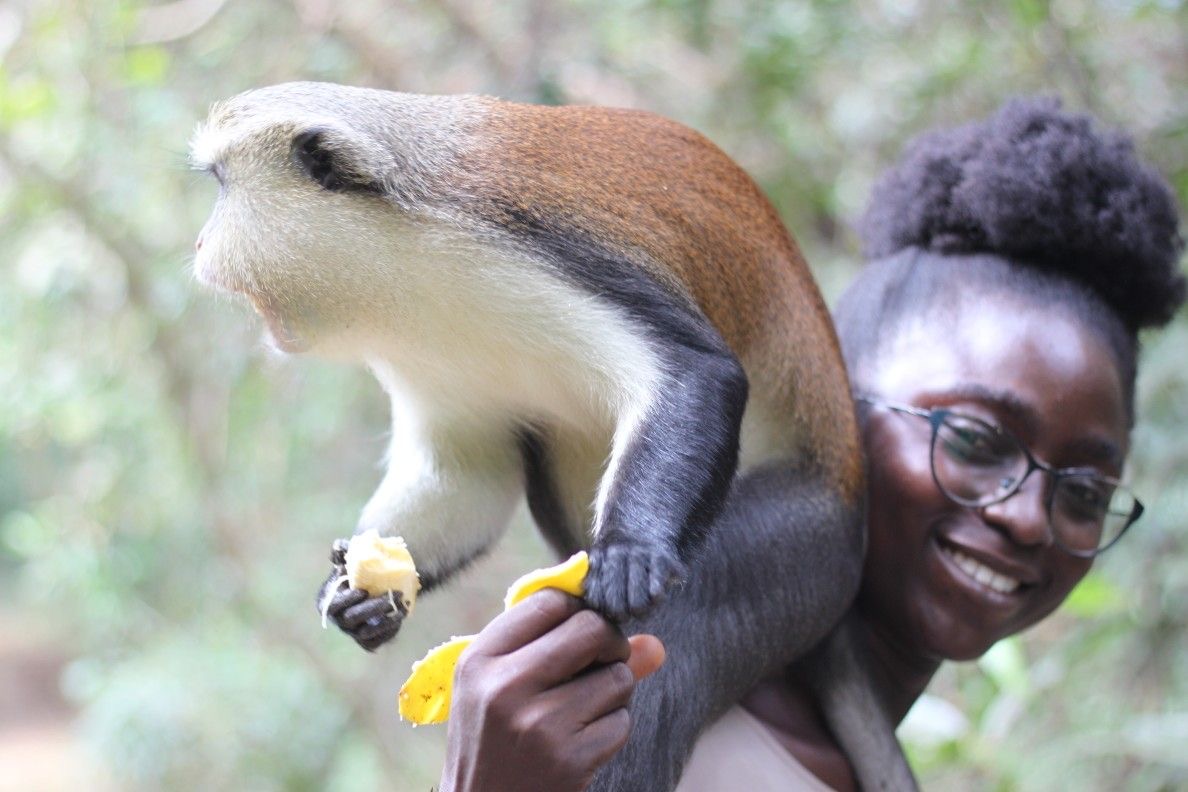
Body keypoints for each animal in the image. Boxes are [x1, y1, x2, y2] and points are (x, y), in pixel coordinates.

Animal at [190, 82, 917, 791]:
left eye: (221, 183)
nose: (198, 248)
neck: (399, 255)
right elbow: (468, 475)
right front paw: (359, 599)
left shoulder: (531, 246)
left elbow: (693, 370)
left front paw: (630, 552)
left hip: (805, 543)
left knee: (692, 615)